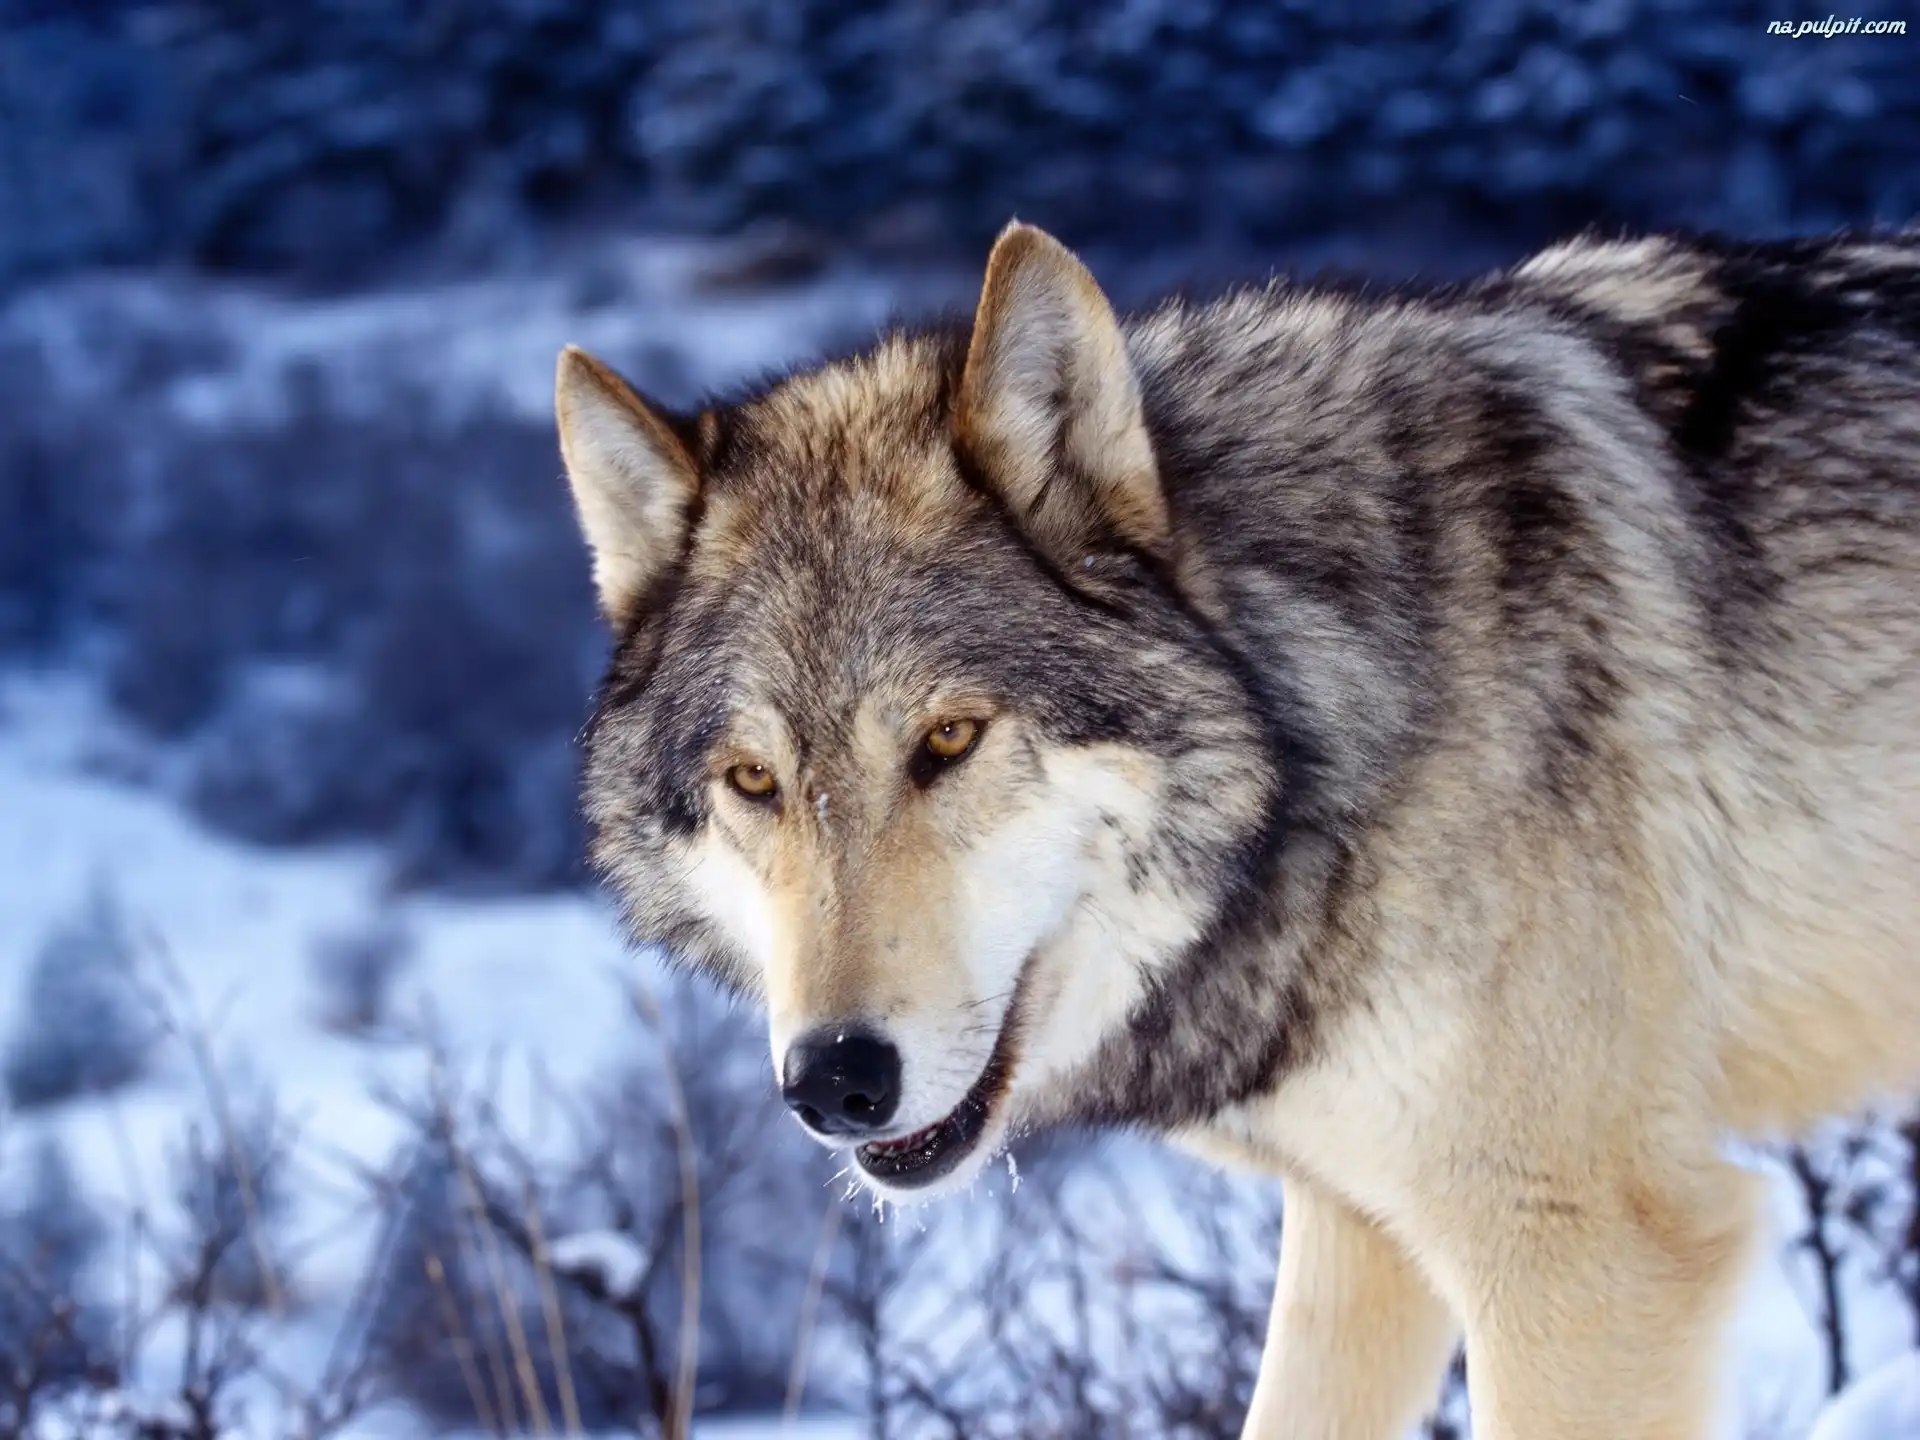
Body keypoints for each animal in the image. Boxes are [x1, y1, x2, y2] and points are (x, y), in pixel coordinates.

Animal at [552, 225, 1920, 1440]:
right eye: (753, 779)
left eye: (948, 739)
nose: (835, 1080)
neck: (1334, 722)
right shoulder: (1362, 1235)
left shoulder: (1586, 1256)